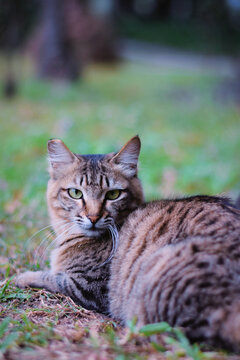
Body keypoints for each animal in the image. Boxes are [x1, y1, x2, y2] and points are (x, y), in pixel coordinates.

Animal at [15, 136, 240, 350]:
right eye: (75, 193)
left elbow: (48, 277)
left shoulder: (87, 287)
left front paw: (21, 277)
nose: (93, 217)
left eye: (113, 194)